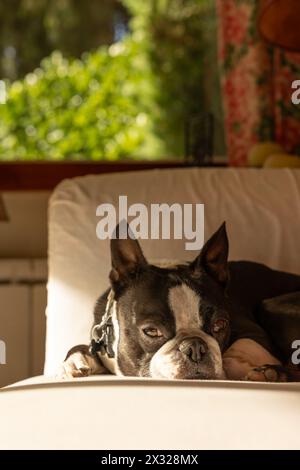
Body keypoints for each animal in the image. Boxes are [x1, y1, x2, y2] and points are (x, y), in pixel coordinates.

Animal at [59, 222, 300, 380]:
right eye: (151, 331)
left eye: (220, 325)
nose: (195, 347)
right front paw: (77, 360)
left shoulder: (254, 334)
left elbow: (232, 356)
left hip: (270, 307)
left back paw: (272, 373)